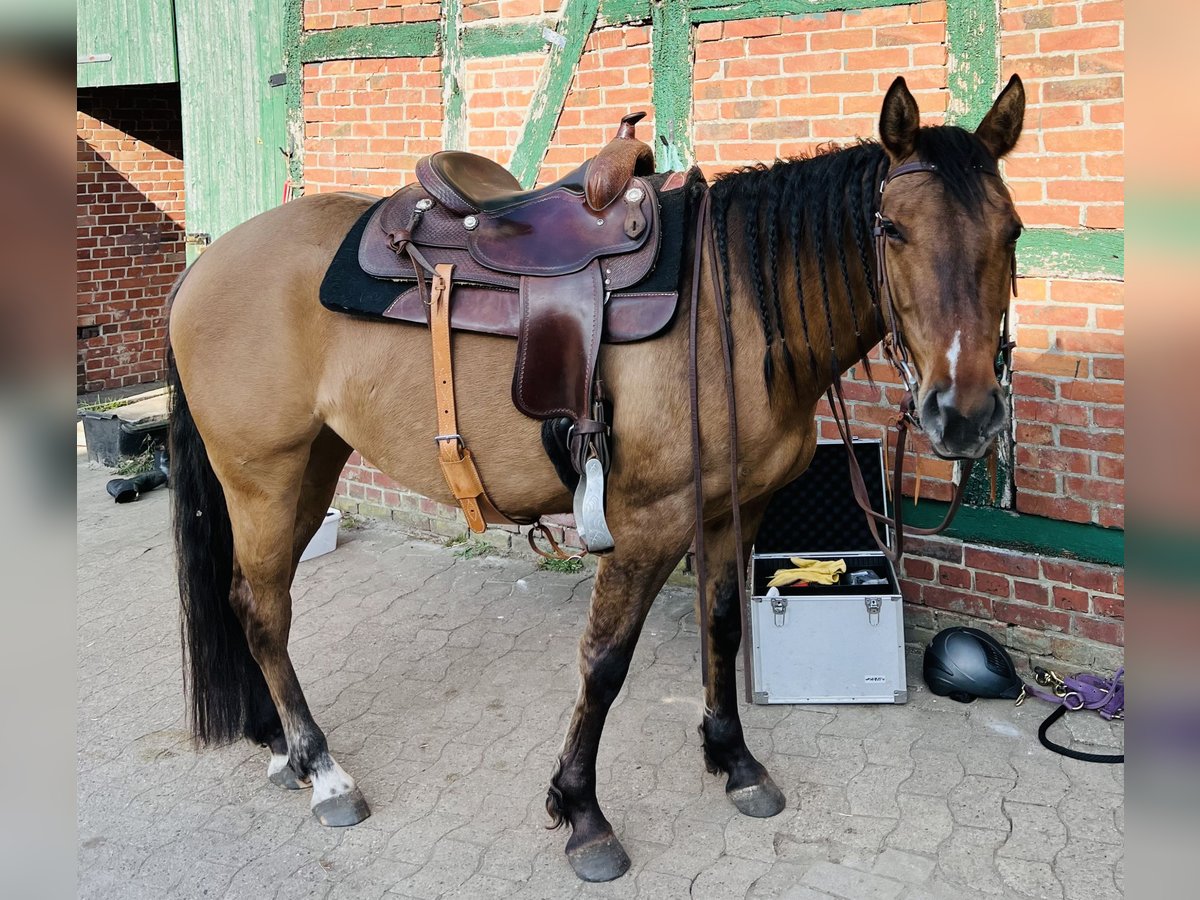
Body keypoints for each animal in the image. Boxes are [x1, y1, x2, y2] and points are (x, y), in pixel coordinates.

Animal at [169, 75, 1027, 883]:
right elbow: (605, 661)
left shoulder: (734, 510)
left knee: (251, 601)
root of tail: (206, 262)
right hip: (262, 476)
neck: (735, 310)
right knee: (265, 610)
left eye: (1012, 231)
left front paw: (734, 761)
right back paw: (323, 771)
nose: (965, 414)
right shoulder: (647, 522)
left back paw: (279, 745)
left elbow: (722, 628)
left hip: (311, 466)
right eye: (891, 228)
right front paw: (582, 813)